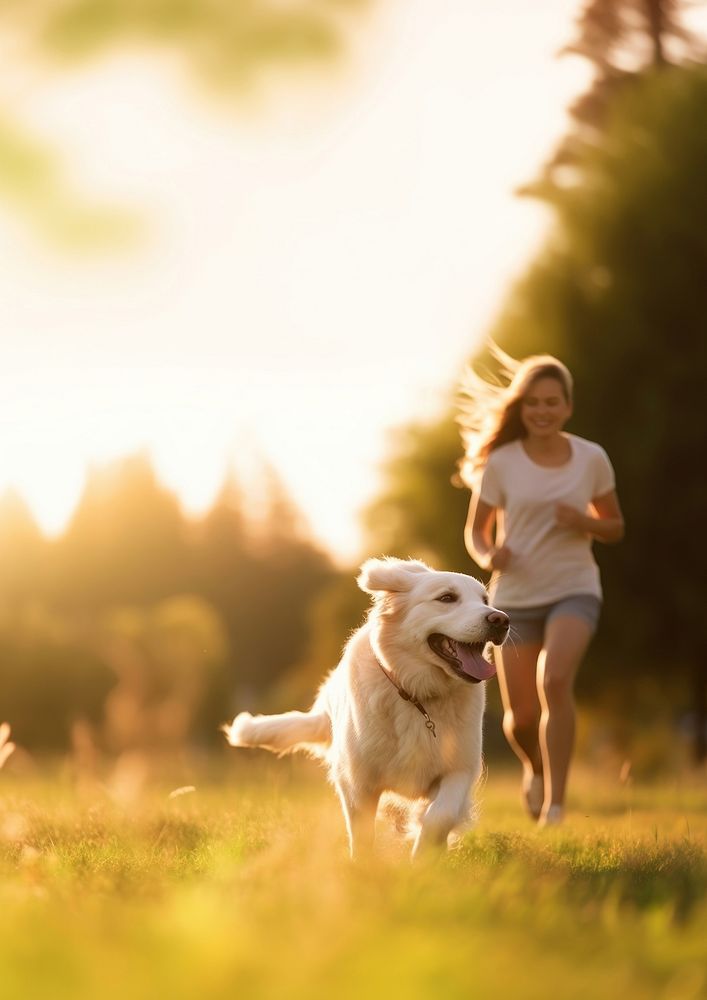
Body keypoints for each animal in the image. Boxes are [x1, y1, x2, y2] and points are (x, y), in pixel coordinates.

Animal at [224, 560, 506, 856]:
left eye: (485, 601)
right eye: (447, 598)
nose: (501, 620)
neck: (417, 696)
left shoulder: (459, 769)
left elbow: (440, 816)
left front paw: (423, 857)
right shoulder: (358, 783)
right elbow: (361, 836)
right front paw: (365, 865)